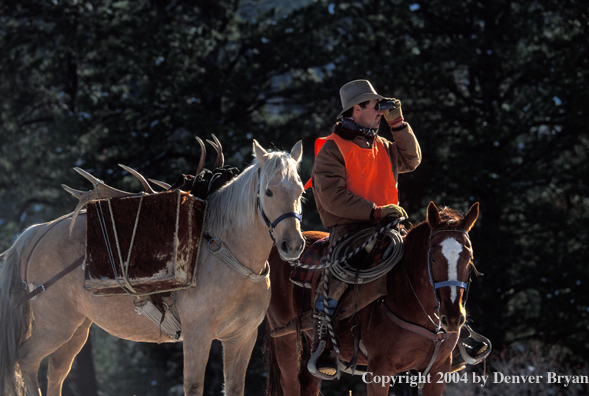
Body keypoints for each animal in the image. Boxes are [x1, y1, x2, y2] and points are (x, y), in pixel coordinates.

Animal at [266, 203, 478, 394]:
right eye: (432, 256)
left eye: (469, 257)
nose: (452, 318)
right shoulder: (379, 370)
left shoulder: (438, 371)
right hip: (284, 337)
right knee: (291, 384)